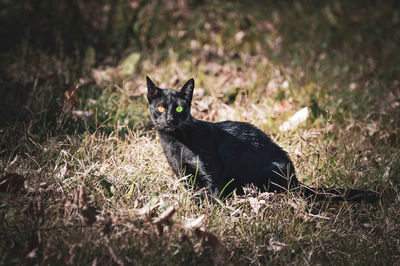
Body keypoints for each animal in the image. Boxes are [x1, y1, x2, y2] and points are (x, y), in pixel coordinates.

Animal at [146, 76, 378, 202]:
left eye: (179, 108)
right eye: (161, 108)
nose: (170, 119)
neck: (175, 142)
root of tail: (296, 180)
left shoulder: (211, 172)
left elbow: (212, 194)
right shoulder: (184, 176)